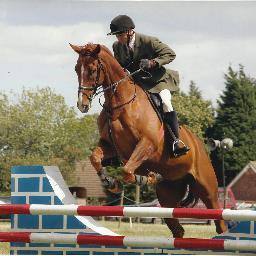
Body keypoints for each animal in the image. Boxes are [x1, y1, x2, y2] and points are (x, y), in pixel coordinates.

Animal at [69, 43, 226, 237]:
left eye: (91, 70)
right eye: (76, 69)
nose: (82, 105)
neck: (120, 104)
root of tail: (200, 145)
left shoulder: (146, 144)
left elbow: (127, 171)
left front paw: (145, 178)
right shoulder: (110, 145)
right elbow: (96, 158)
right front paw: (111, 182)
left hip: (208, 188)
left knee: (219, 221)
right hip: (168, 195)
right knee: (177, 229)